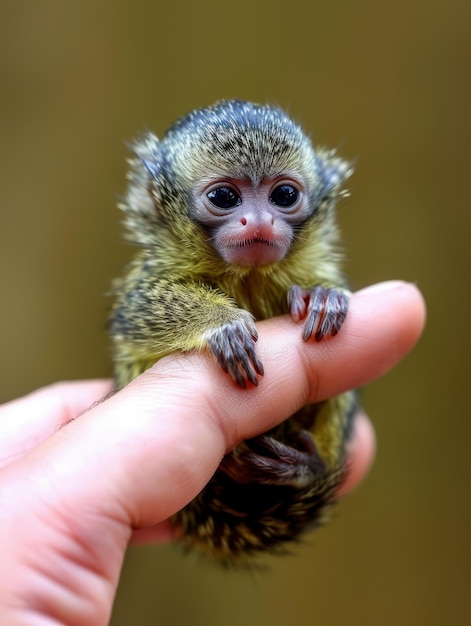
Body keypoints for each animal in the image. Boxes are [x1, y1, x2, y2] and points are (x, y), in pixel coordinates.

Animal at [109, 100, 356, 564]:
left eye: (284, 196)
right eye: (224, 198)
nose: (257, 221)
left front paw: (322, 297)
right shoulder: (145, 281)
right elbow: (134, 311)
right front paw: (221, 324)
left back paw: (305, 469)